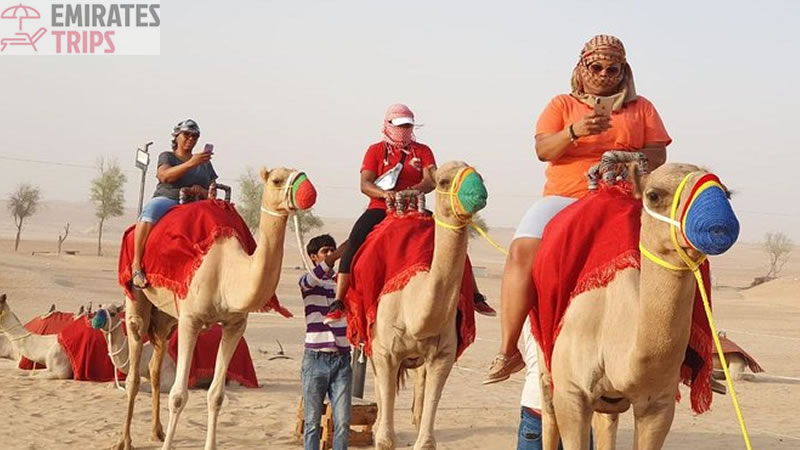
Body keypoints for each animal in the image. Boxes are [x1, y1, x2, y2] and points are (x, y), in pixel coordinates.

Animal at [115, 166, 316, 450]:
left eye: (303, 173)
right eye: (277, 180)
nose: (310, 192)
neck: (226, 271)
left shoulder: (235, 324)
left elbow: (217, 395)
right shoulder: (190, 320)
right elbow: (178, 395)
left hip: (166, 318)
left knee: (154, 368)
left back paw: (157, 432)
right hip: (136, 297)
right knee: (133, 371)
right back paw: (125, 440)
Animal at [368, 162, 488, 450]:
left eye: (479, 175)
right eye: (443, 181)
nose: (480, 194)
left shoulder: (443, 355)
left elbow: (426, 443)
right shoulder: (384, 350)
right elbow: (386, 440)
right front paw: (381, 433)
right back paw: (376, 425)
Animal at [536, 163, 736, 450]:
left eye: (727, 193)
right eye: (653, 195)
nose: (720, 225)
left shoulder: (658, 404)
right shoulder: (572, 393)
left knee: (606, 420)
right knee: (548, 408)